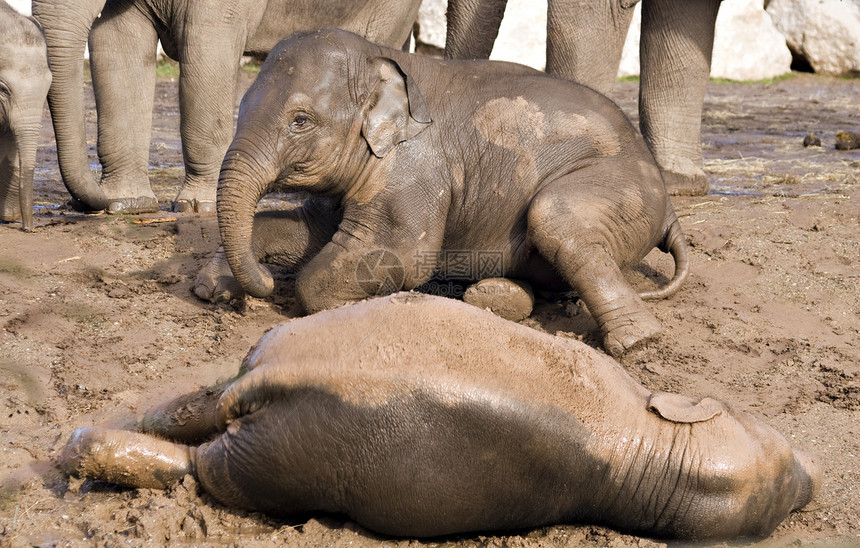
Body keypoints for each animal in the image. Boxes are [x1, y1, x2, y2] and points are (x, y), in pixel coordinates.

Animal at [58, 294, 820, 540]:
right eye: (775, 439)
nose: (816, 479)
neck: (655, 454)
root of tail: (262, 379)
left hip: (269, 445)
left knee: (196, 456)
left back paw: (75, 449)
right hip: (271, 369)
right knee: (196, 424)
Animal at [197, 30, 692, 358]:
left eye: (300, 120)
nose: (261, 286)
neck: (382, 57)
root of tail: (669, 208)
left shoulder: (417, 169)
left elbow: (398, 253)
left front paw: (362, 305)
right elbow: (306, 231)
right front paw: (212, 289)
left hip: (618, 188)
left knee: (555, 217)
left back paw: (636, 343)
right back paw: (494, 297)